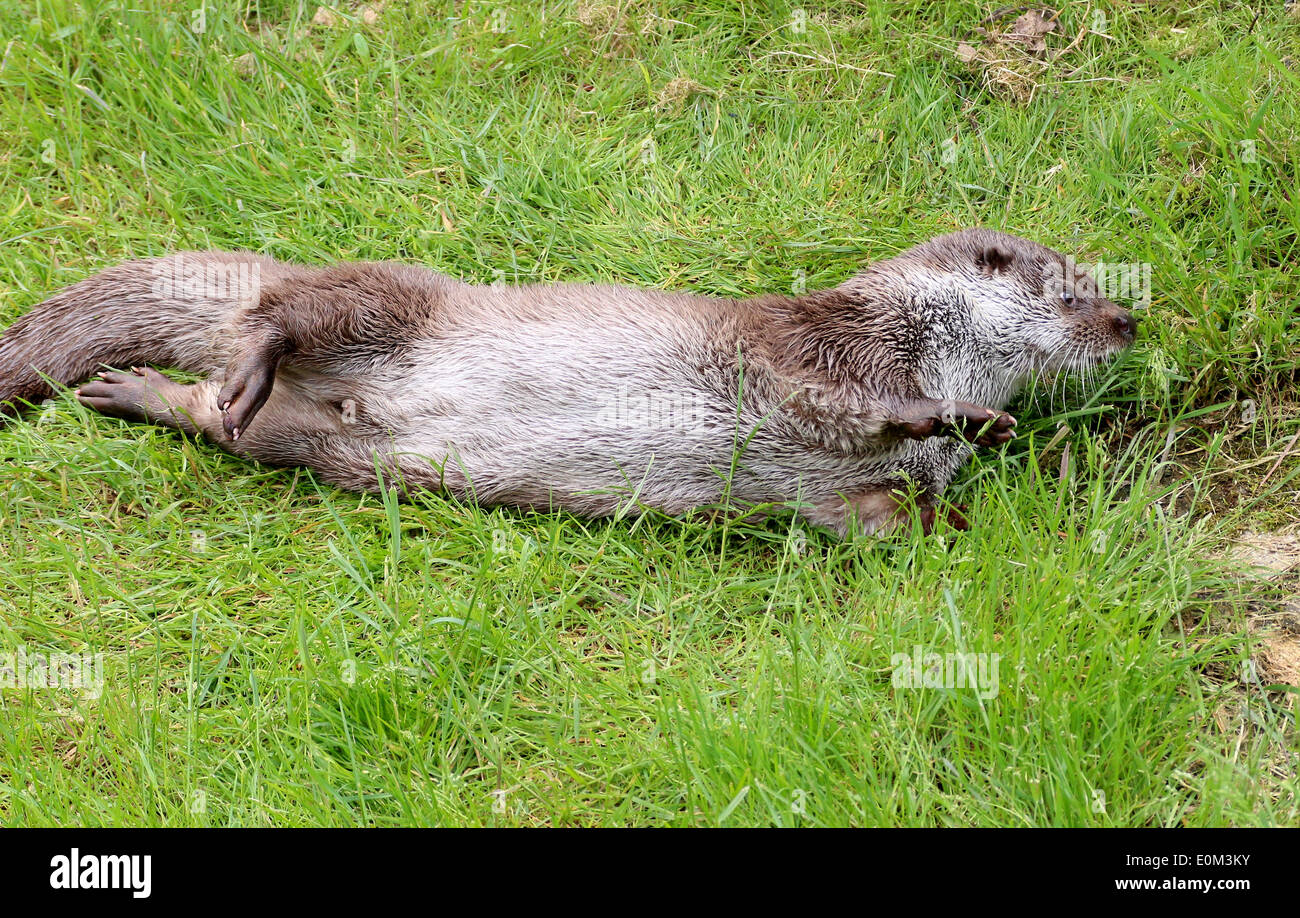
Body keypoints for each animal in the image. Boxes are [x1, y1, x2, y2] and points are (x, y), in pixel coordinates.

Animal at [0, 226, 1133, 535]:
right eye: (1073, 289)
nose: (1130, 318)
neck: (912, 336)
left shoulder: (851, 502)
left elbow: (878, 520)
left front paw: (967, 475)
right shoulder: (808, 348)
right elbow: (852, 405)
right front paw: (953, 417)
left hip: (326, 447)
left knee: (233, 425)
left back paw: (140, 393)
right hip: (394, 300)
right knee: (284, 313)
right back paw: (241, 358)